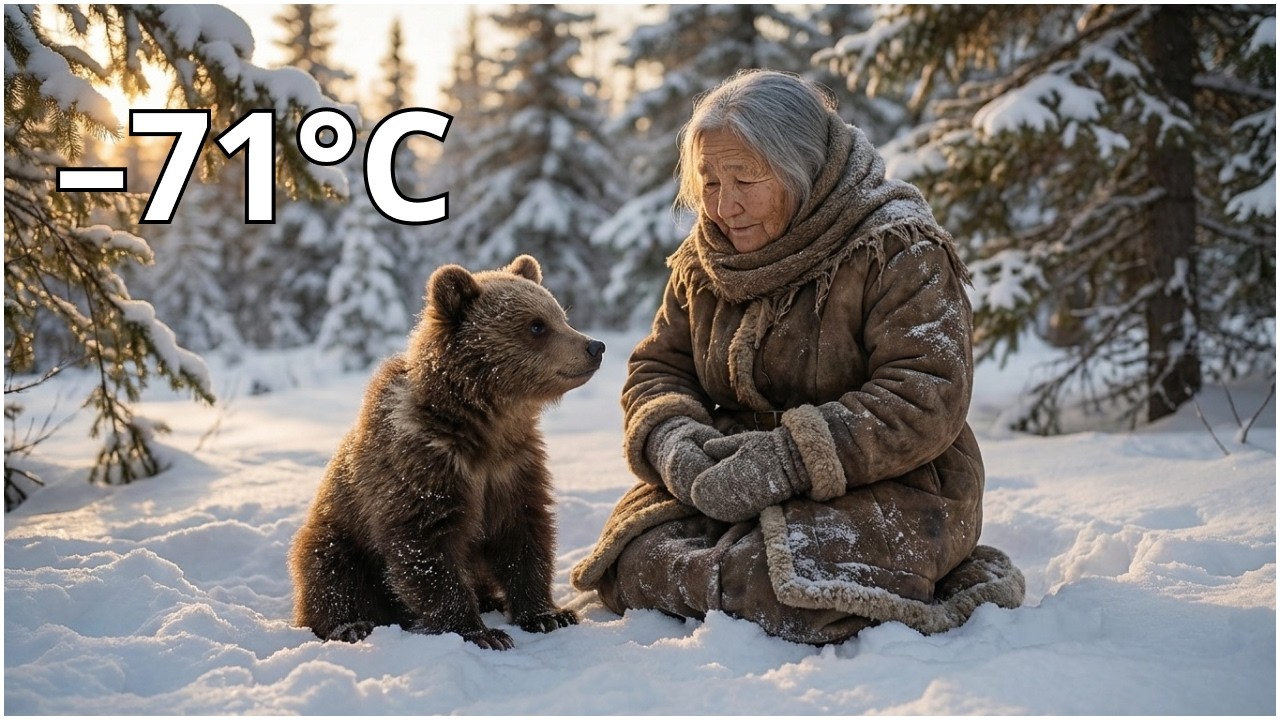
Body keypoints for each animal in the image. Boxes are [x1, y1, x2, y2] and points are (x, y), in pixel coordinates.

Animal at [289, 254, 605, 650]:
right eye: (536, 326)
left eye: (560, 314)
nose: (594, 346)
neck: (483, 427)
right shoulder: (422, 467)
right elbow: (427, 550)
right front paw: (483, 633)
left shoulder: (513, 467)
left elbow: (524, 536)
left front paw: (548, 615)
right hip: (340, 532)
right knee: (330, 571)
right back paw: (350, 625)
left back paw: (490, 599)